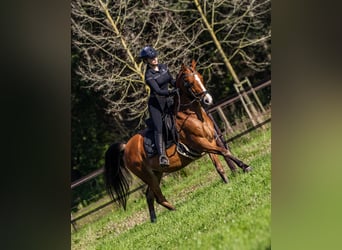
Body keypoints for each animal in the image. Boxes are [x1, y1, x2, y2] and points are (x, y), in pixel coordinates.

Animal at [105, 60, 252, 223]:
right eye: (188, 82)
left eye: (200, 77)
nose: (208, 100)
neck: (192, 114)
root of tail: (126, 147)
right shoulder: (201, 143)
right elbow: (225, 151)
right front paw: (245, 166)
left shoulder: (210, 143)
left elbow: (219, 164)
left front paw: (228, 181)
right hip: (148, 175)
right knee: (158, 197)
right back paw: (176, 210)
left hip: (156, 173)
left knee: (149, 195)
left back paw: (155, 220)